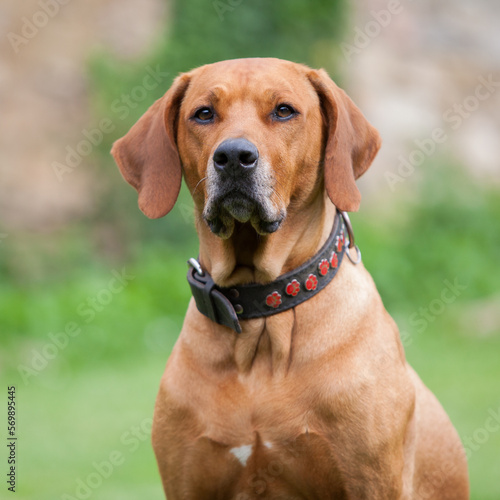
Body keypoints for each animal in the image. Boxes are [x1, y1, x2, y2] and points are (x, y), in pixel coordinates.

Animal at [112, 59, 468, 500]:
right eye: (204, 113)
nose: (233, 156)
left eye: (283, 111)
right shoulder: (188, 482)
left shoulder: (372, 480)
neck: (264, 314)